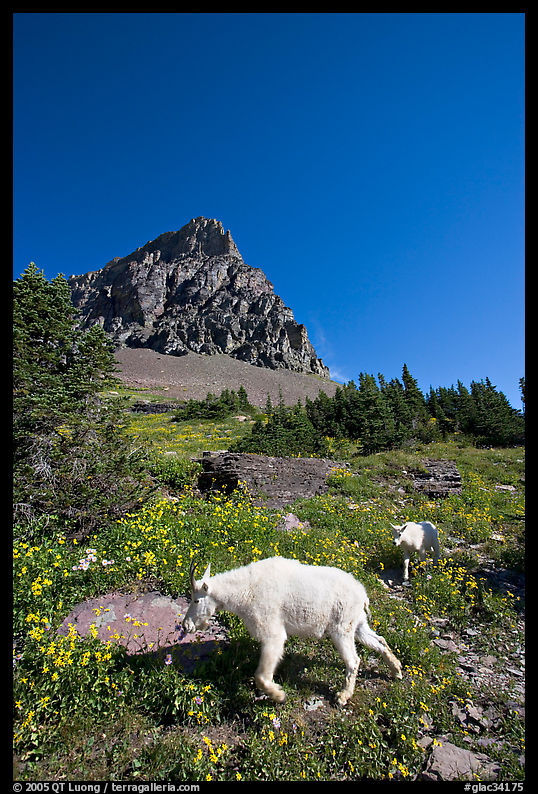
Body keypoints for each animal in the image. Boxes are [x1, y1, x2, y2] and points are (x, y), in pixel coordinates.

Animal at [182, 556, 402, 706]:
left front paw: (279, 695)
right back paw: (397, 670)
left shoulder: (272, 632)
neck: (244, 591)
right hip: (358, 625)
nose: (186, 626)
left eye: (196, 600)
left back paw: (343, 696)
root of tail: (363, 595)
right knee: (380, 641)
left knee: (354, 661)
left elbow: (261, 676)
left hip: (342, 628)